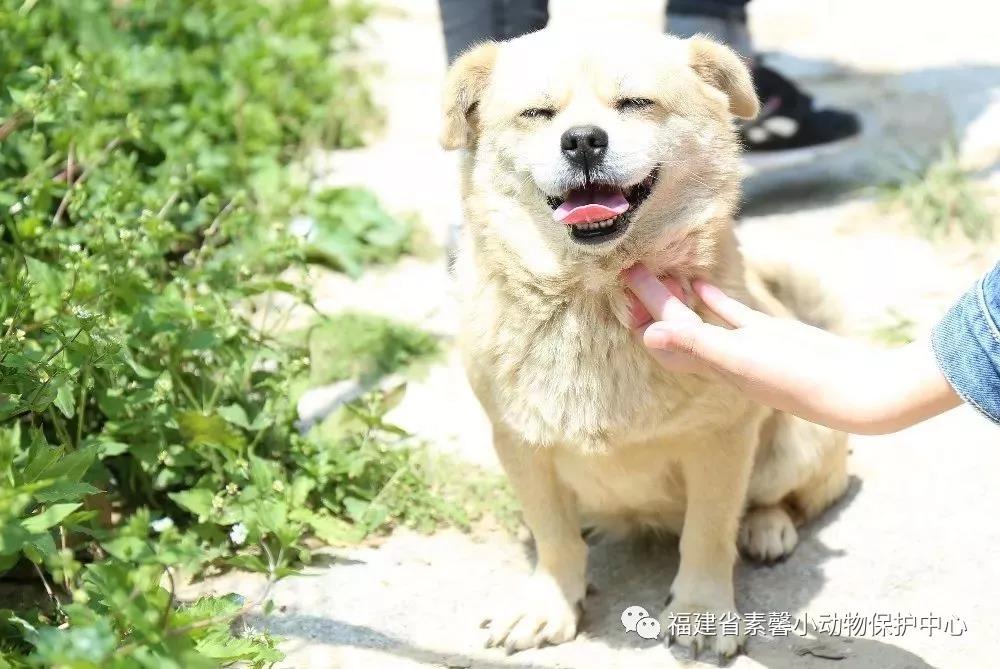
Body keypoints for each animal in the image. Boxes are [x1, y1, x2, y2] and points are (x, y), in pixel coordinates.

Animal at [441, 27, 848, 658]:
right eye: (538, 114)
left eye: (635, 103)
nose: (583, 140)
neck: (595, 299)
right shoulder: (519, 440)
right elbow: (553, 535)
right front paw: (551, 602)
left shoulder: (721, 438)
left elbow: (707, 532)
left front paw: (702, 609)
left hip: (801, 443)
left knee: (784, 498)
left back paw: (766, 525)